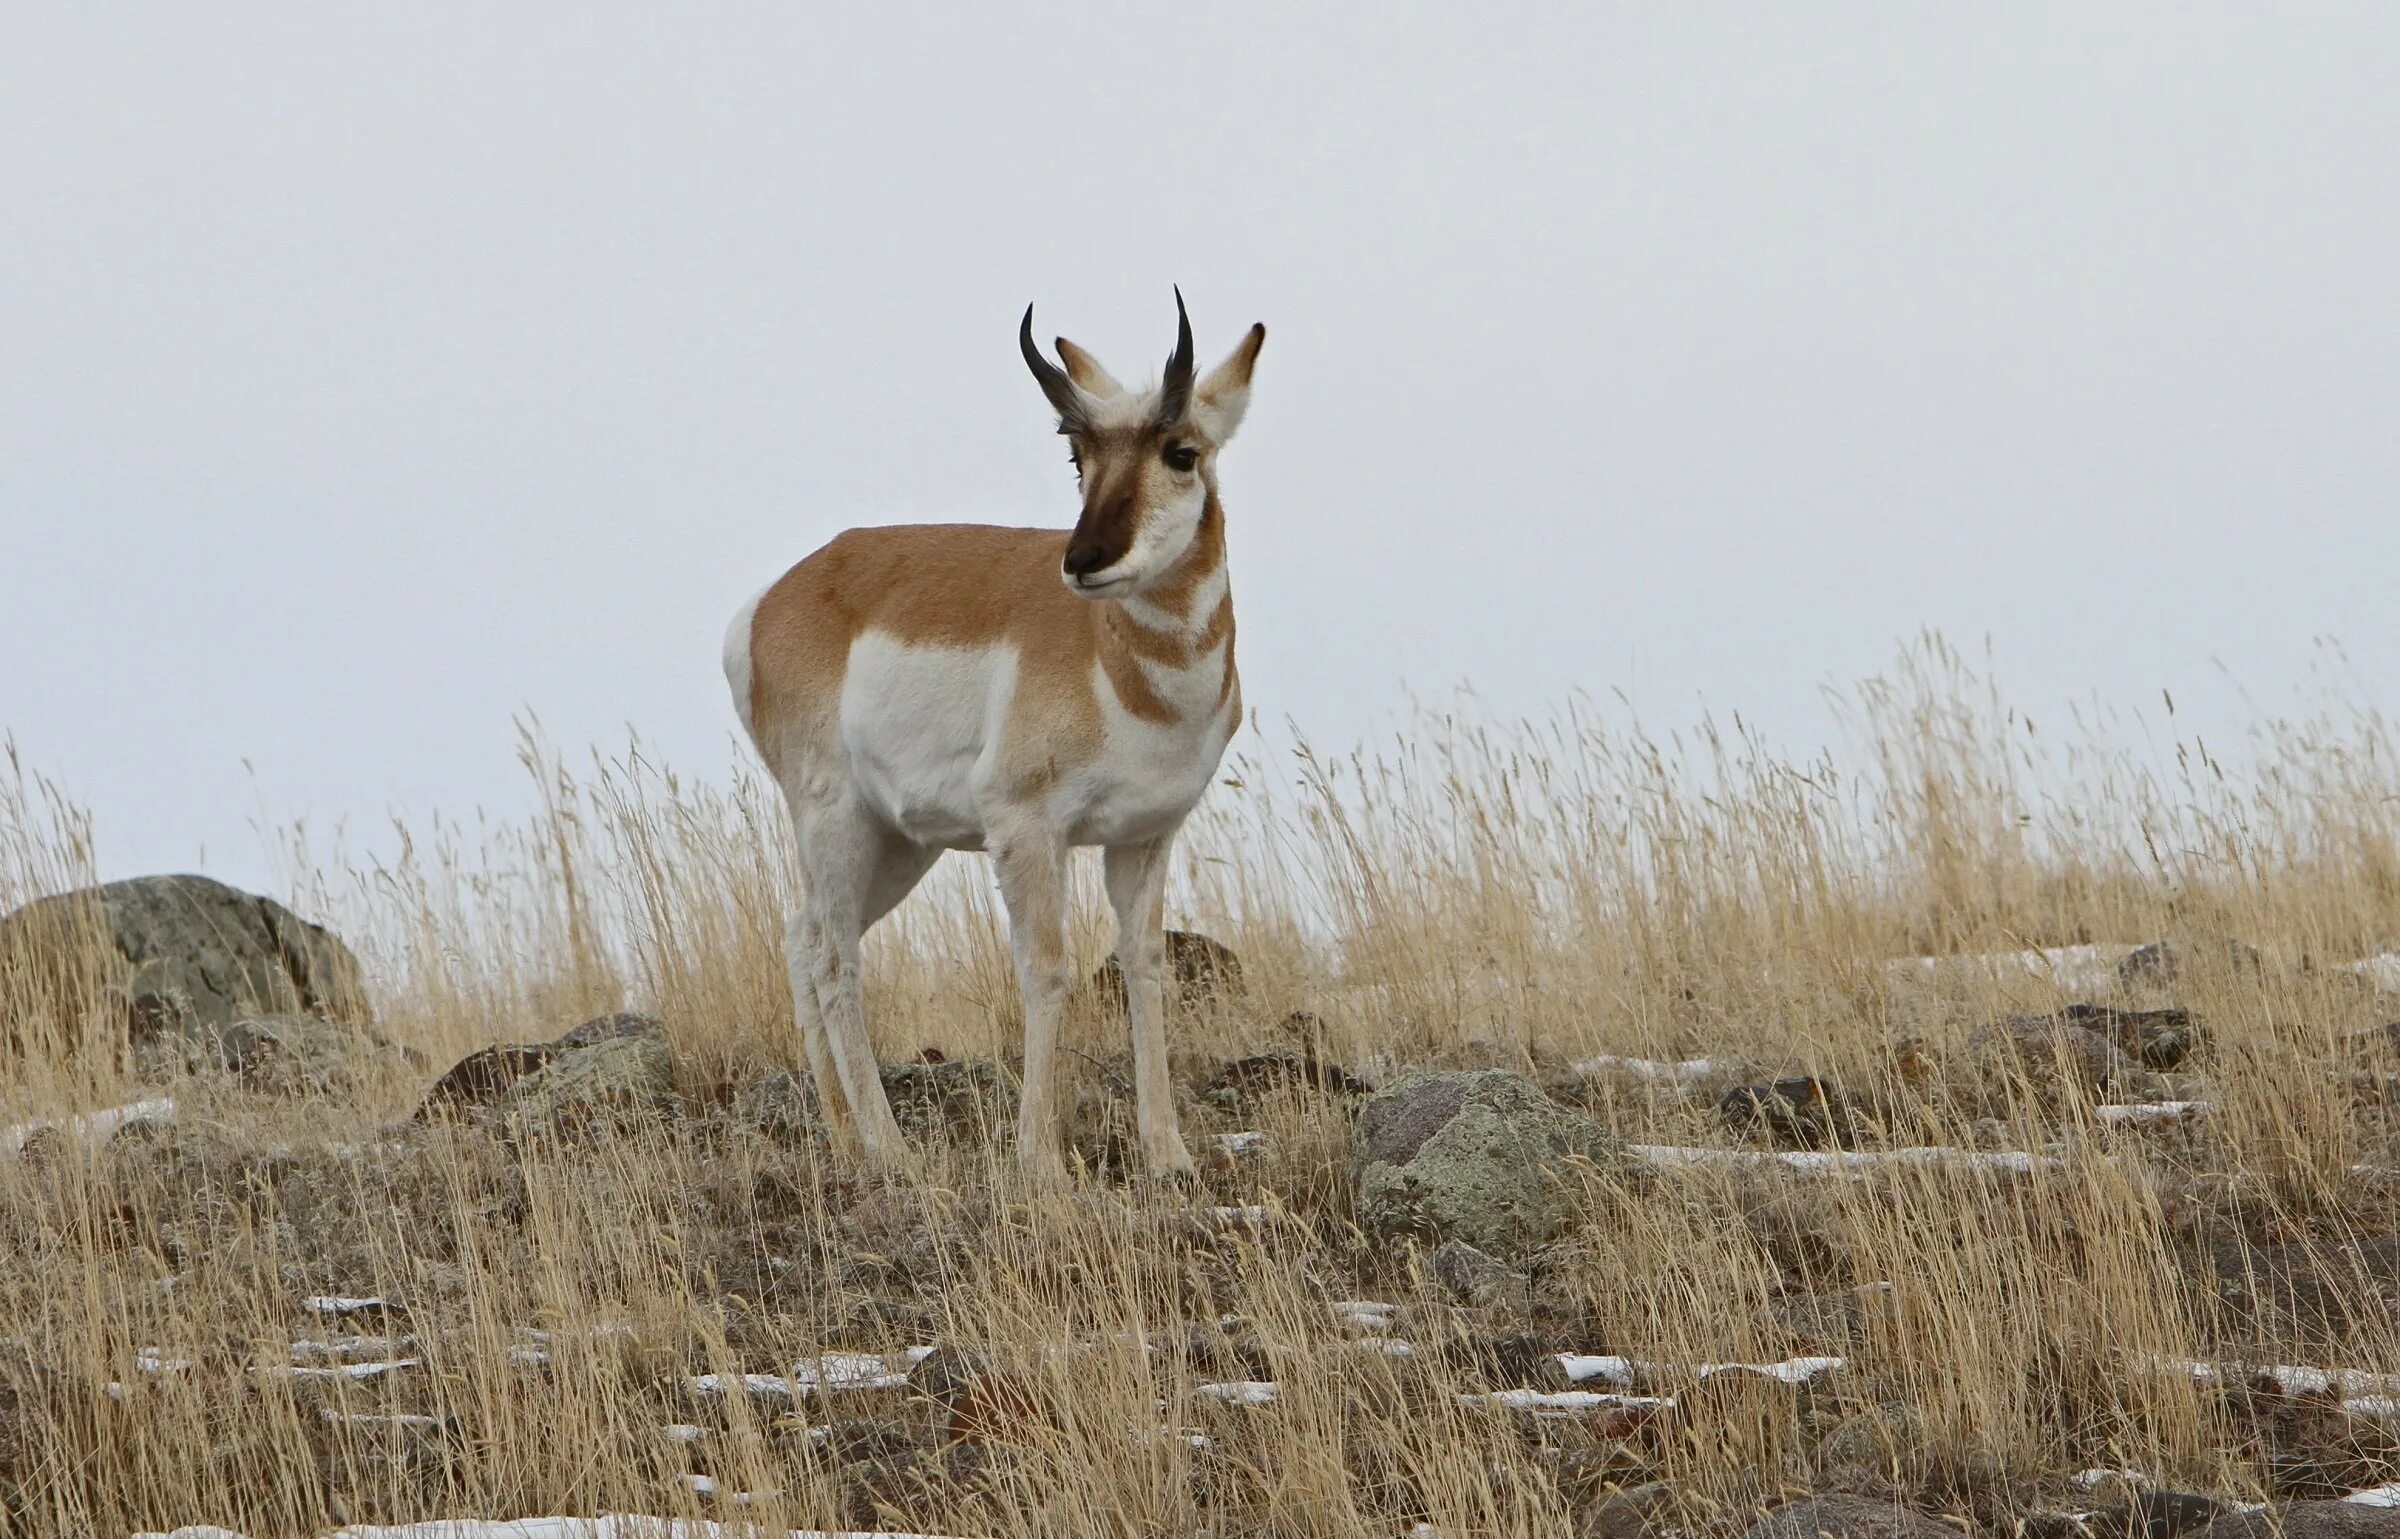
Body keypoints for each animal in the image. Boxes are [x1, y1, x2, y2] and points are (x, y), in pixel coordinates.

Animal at [720, 290, 1267, 1176]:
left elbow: (1145, 965)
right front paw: (1038, 1157)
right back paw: (891, 1148)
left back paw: (844, 1138)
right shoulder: (1027, 830)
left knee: (803, 937)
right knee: (835, 957)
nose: (1082, 559)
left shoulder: (1145, 837)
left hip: (900, 843)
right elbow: (1046, 969)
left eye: (1181, 452)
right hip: (837, 822)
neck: (1119, 660)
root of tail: (776, 598)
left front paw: (1169, 1152)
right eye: (1079, 457)